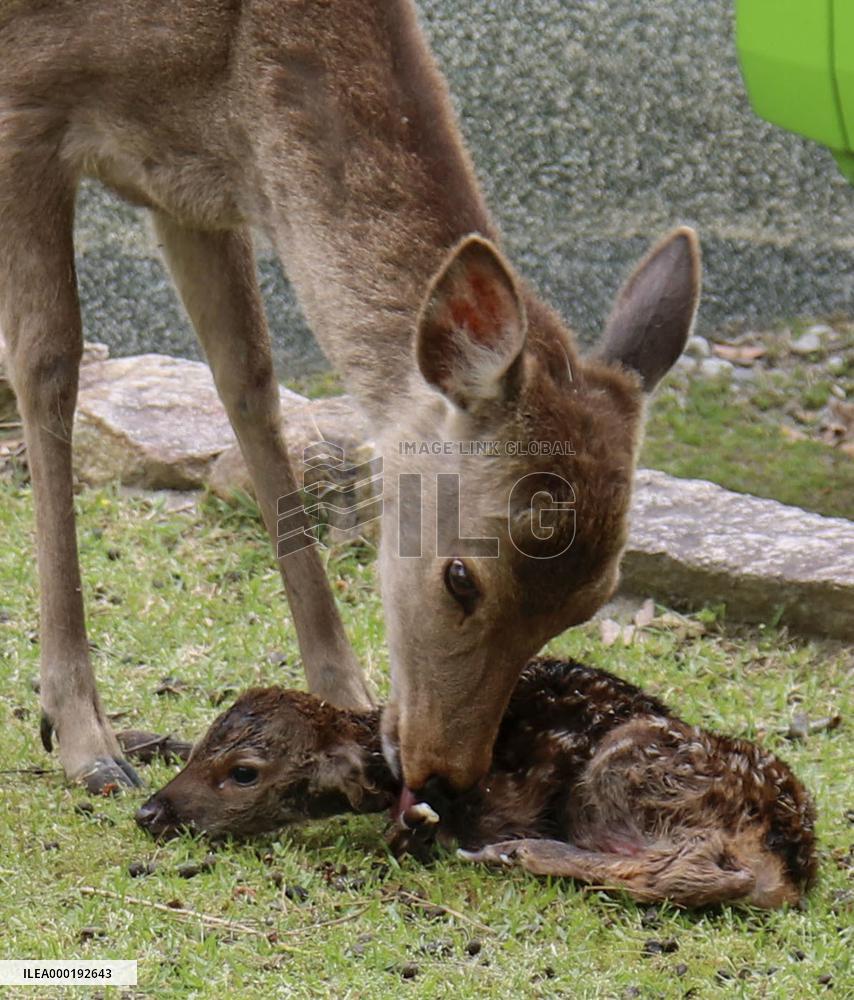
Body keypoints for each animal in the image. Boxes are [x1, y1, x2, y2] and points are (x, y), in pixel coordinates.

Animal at [0, 0, 700, 798]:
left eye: (588, 602)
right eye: (461, 576)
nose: (445, 775)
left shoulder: (193, 181)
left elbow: (248, 378)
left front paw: (344, 695)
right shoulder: (27, 105)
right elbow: (48, 361)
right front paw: (84, 738)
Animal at [134, 659, 817, 910]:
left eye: (243, 773)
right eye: (204, 744)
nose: (151, 811)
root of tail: (794, 860)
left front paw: (419, 832)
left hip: (625, 770)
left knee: (705, 870)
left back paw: (516, 853)